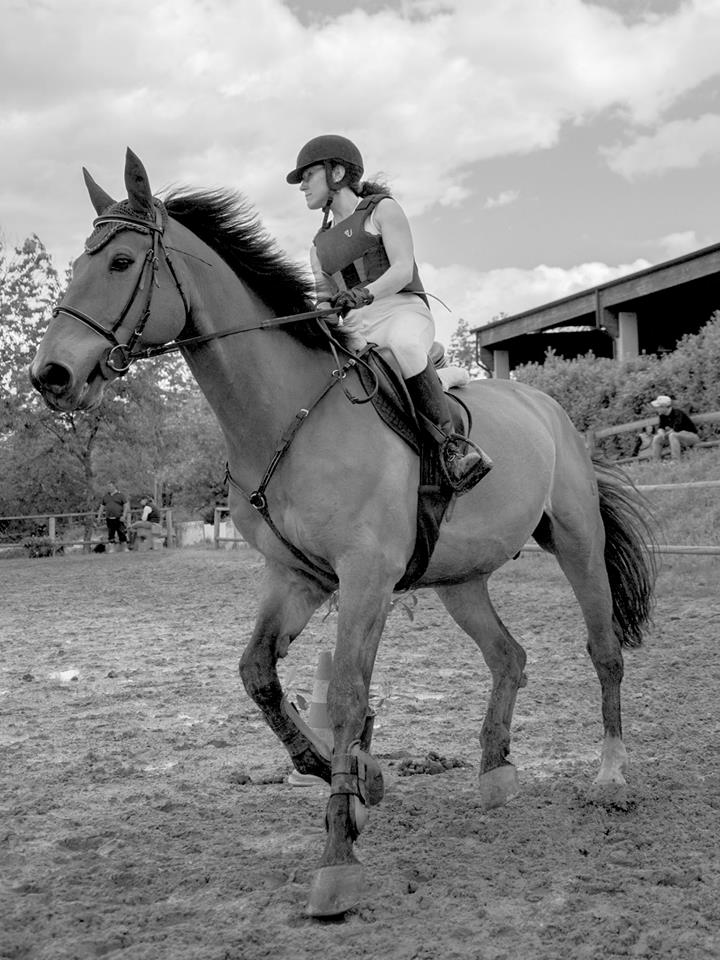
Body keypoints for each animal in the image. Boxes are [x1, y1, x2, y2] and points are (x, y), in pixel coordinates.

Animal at [30, 149, 656, 918]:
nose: (51, 376)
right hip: (460, 579)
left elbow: (352, 698)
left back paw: (610, 778)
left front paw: (337, 859)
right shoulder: (295, 577)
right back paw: (494, 772)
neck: (286, 413)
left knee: (604, 652)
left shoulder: (365, 578)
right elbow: (258, 673)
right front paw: (351, 778)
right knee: (508, 656)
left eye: (120, 262)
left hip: (576, 542)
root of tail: (548, 404)